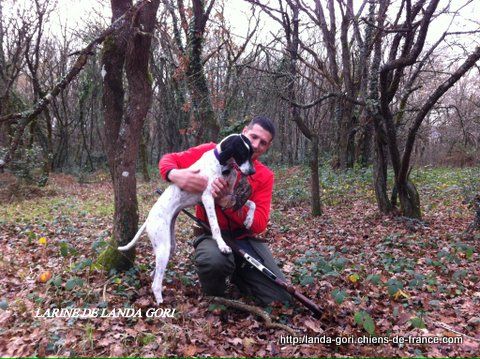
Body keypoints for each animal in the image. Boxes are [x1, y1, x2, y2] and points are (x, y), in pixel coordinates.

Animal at [118, 134, 256, 304]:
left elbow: (251, 203)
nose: (252, 171)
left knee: (155, 273)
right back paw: (161, 303)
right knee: (156, 284)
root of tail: (149, 218)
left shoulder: (226, 197)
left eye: (251, 154)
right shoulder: (208, 198)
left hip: (169, 246)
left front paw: (249, 220)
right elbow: (215, 226)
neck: (222, 164)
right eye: (242, 153)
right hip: (163, 247)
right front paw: (222, 245)